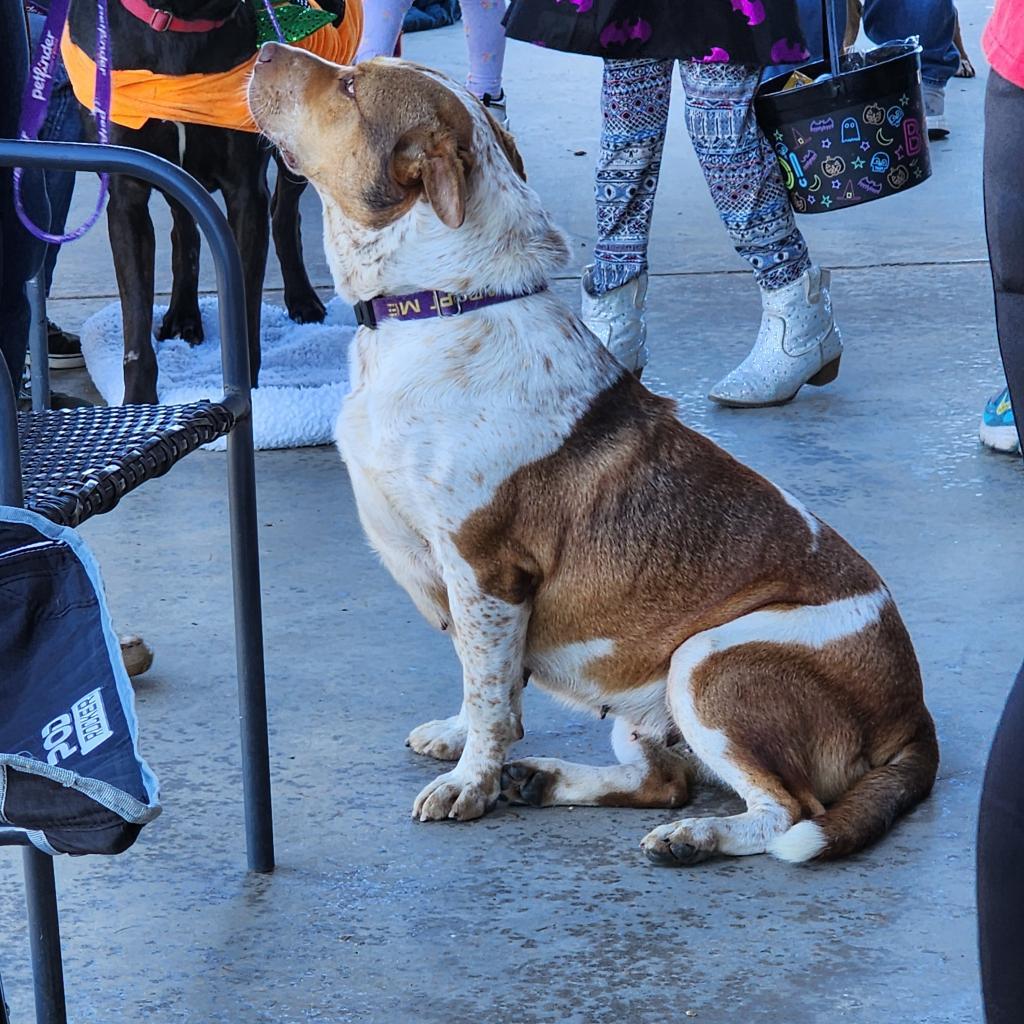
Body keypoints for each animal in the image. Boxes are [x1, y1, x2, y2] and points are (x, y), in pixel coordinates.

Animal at [62, 0, 360, 403]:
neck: (182, 25)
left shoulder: (245, 191)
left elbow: (244, 309)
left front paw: (246, 393)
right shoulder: (128, 191)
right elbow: (135, 322)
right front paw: (138, 403)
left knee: (284, 216)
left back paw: (302, 298)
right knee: (184, 232)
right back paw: (183, 314)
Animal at [247, 48, 937, 864]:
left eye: (351, 85)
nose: (263, 50)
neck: (441, 303)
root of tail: (915, 717)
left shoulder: (487, 571)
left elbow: (490, 694)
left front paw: (471, 782)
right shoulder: (471, 594)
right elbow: (484, 679)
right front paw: (466, 744)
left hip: (704, 662)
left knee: (784, 813)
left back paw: (691, 837)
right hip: (647, 710)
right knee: (665, 778)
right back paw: (545, 781)